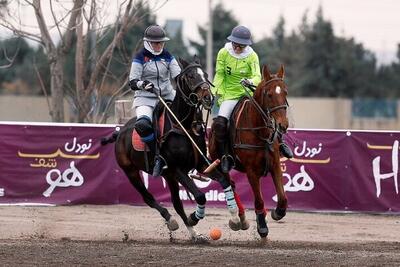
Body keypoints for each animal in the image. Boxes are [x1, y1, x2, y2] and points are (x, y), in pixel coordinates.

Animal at [208, 65, 290, 239]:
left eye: (285, 92)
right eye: (269, 94)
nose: (282, 125)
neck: (260, 132)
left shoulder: (275, 165)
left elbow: (282, 198)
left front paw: (276, 213)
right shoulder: (251, 171)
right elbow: (258, 200)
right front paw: (262, 227)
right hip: (220, 163)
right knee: (230, 184)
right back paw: (239, 219)